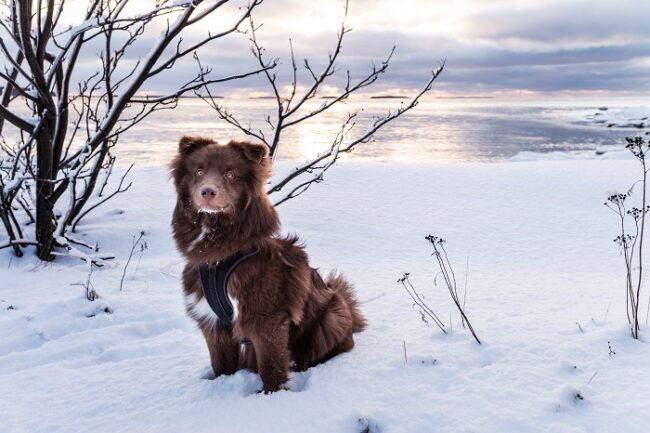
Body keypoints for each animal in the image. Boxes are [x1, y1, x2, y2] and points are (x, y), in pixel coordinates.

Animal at [170, 136, 364, 392]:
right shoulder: (212, 323)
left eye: (230, 174)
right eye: (198, 171)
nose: (207, 192)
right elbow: (222, 365)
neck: (218, 258)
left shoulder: (267, 320)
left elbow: (271, 367)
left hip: (332, 315)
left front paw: (271, 397)